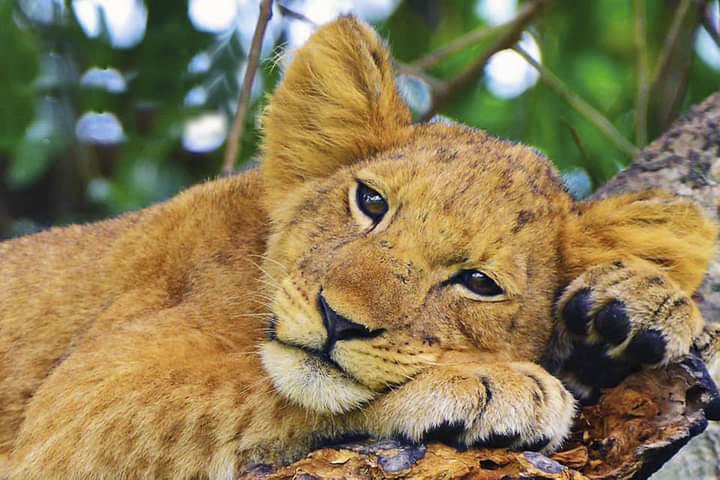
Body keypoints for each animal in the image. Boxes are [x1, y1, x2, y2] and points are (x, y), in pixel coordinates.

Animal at [0, 16, 716, 479]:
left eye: (478, 283)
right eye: (371, 203)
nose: (336, 319)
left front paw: (638, 307)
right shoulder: (74, 418)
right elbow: (266, 391)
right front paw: (490, 385)